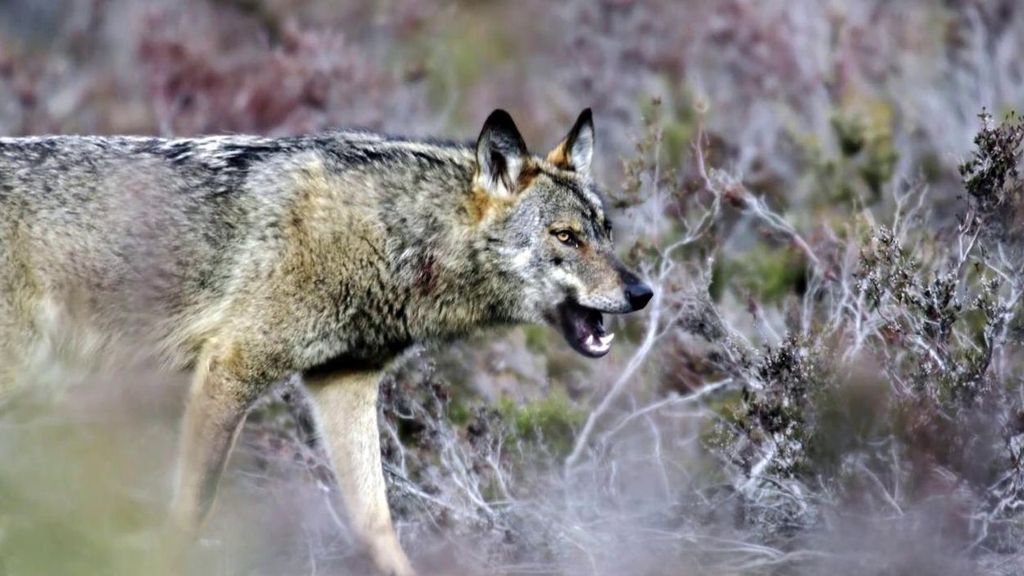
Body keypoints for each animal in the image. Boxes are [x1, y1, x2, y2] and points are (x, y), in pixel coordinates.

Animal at [0, 108, 651, 573]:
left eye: (605, 231)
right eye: (565, 237)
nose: (643, 292)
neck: (393, 238)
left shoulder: (342, 382)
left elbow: (378, 524)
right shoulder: (231, 367)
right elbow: (193, 508)